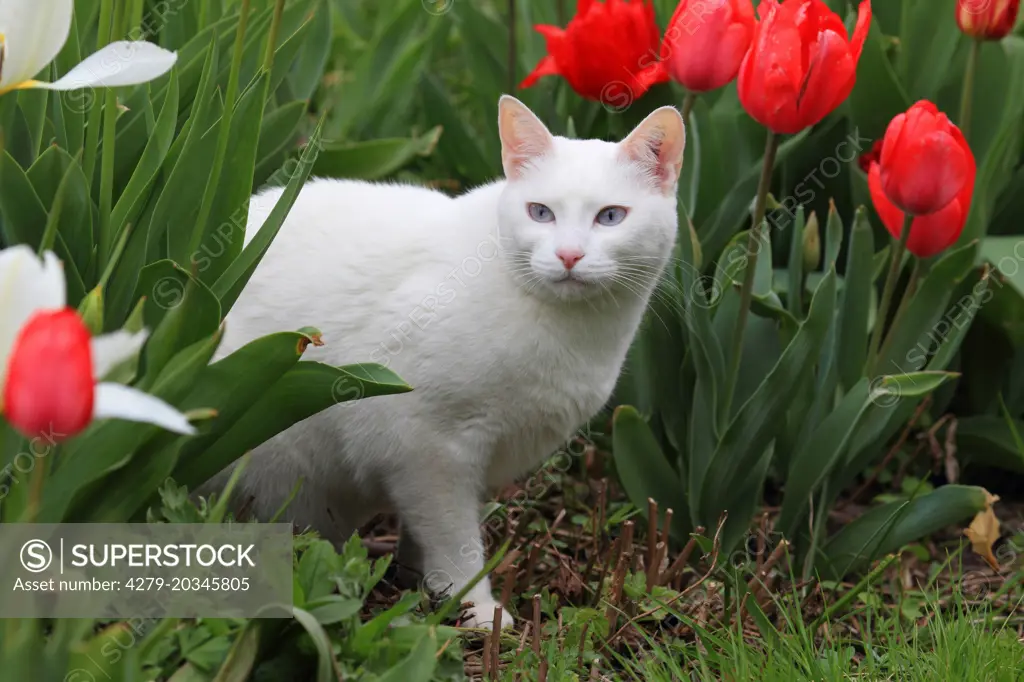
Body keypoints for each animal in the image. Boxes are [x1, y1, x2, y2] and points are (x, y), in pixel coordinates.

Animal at [210, 95, 684, 626]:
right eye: (540, 212)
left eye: (611, 216)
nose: (568, 255)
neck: (576, 333)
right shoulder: (427, 446)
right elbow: (453, 536)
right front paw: (473, 607)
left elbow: (423, 534)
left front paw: (421, 584)